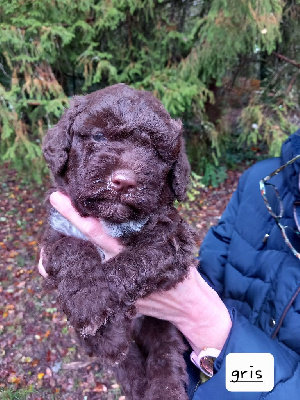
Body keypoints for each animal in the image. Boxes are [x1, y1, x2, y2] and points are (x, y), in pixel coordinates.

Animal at [41, 83, 198, 398]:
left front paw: (91, 302)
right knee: (128, 366)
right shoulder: (54, 233)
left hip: (162, 326)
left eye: (155, 151)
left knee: (166, 353)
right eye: (99, 136)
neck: (110, 220)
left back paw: (165, 389)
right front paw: (89, 301)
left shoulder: (174, 241)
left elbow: (132, 263)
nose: (124, 181)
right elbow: (72, 248)